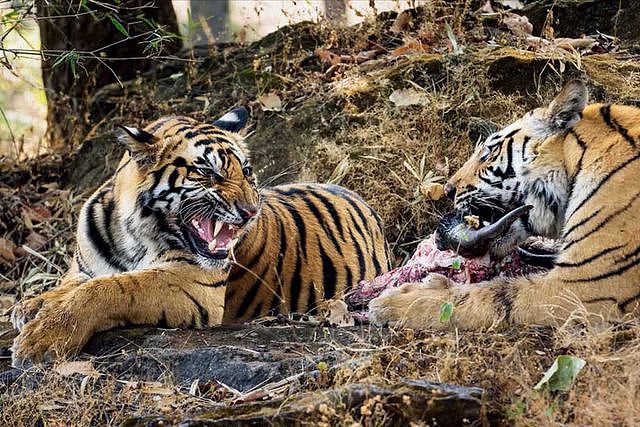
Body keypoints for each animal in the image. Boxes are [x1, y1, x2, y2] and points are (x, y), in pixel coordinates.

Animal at [11, 107, 389, 366]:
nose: (252, 210)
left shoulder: (189, 283)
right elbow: (71, 286)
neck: (132, 236)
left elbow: (108, 290)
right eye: (209, 173)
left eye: (246, 172)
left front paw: (43, 339)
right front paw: (31, 306)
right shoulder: (84, 268)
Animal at [369, 80, 640, 330]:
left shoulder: (584, 285)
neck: (576, 163)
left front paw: (395, 301)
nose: (447, 190)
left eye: (488, 152)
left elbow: (493, 296)